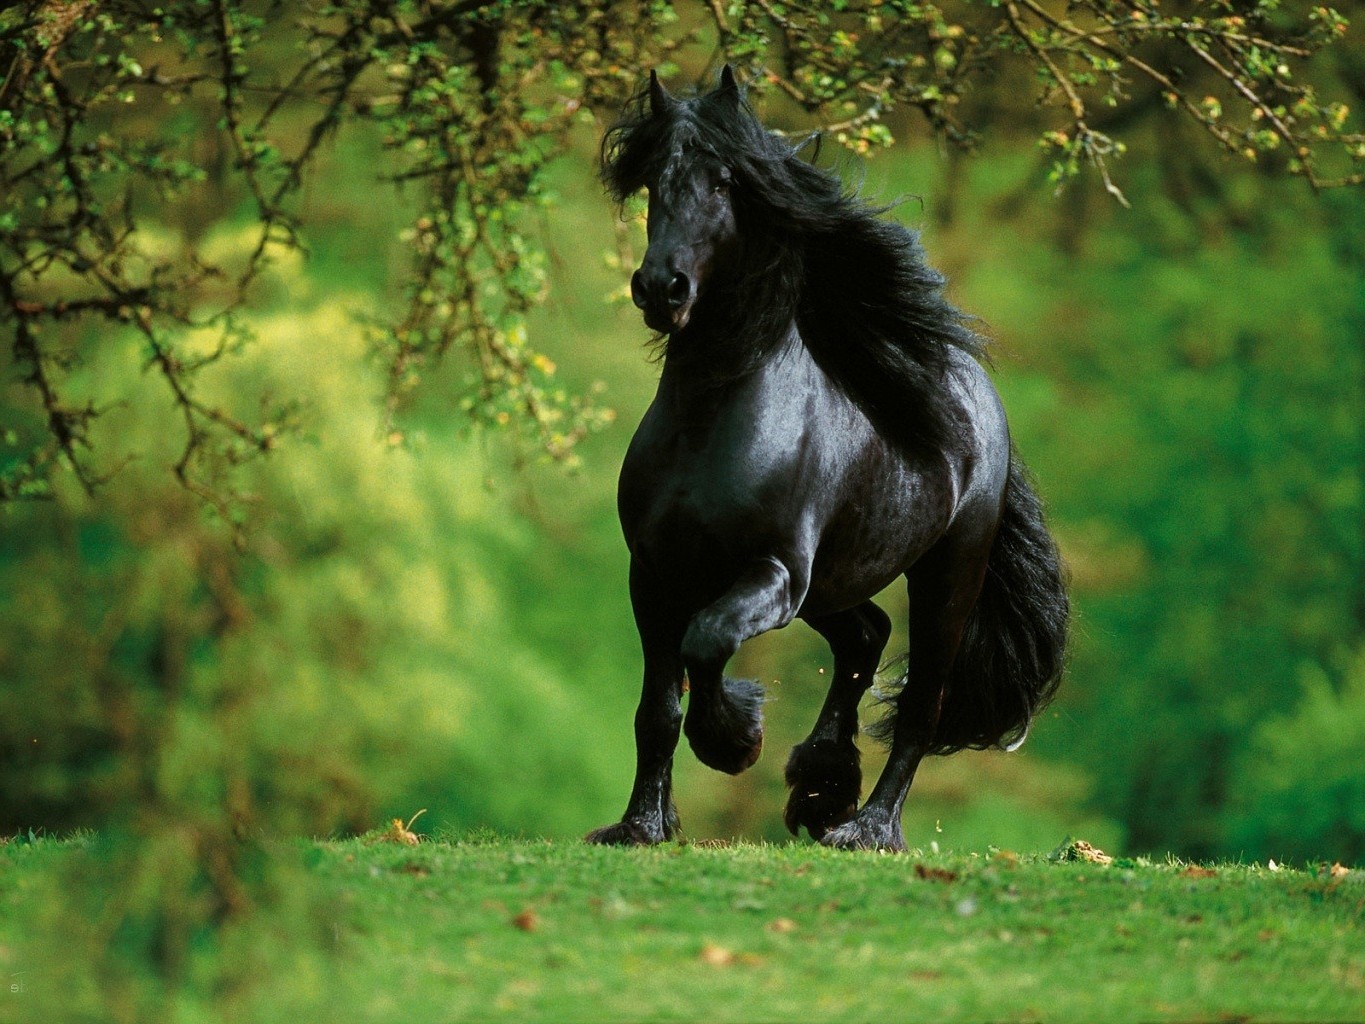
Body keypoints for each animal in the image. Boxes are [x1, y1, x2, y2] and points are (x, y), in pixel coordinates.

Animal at [584, 68, 1064, 851]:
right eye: (654, 180)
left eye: (724, 181)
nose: (660, 288)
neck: (710, 425)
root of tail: (978, 396)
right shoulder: (653, 575)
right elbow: (656, 707)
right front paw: (639, 825)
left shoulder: (773, 572)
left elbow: (707, 642)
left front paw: (735, 740)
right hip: (834, 586)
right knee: (866, 637)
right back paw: (820, 785)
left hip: (945, 576)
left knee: (921, 707)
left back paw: (866, 827)